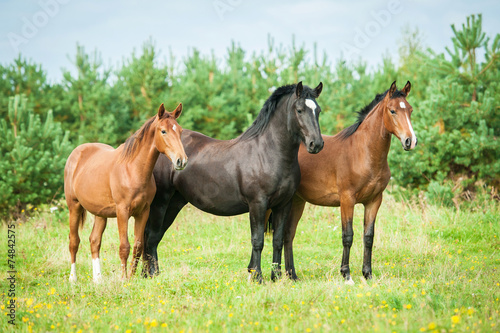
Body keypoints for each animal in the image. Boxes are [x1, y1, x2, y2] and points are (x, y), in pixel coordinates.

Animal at [63, 102, 187, 282]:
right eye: (163, 131)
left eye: (180, 131)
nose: (181, 161)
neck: (132, 169)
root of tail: (76, 153)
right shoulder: (122, 212)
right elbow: (124, 246)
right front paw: (123, 279)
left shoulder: (143, 212)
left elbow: (138, 246)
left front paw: (131, 277)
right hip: (74, 207)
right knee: (74, 241)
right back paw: (73, 279)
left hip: (100, 213)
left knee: (94, 240)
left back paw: (98, 280)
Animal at [143, 81, 326, 280]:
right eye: (299, 110)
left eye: (318, 110)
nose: (316, 144)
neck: (268, 154)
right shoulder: (257, 204)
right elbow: (258, 240)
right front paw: (257, 277)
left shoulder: (283, 204)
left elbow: (278, 240)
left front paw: (275, 277)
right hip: (161, 202)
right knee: (151, 235)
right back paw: (151, 275)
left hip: (175, 203)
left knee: (154, 236)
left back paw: (149, 274)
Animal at [282, 80, 418, 282]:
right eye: (392, 110)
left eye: (409, 110)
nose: (410, 141)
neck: (363, 154)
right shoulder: (347, 200)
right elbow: (348, 236)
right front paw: (346, 274)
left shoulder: (374, 201)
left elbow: (368, 237)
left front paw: (367, 274)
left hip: (298, 201)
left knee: (288, 234)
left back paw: (291, 275)